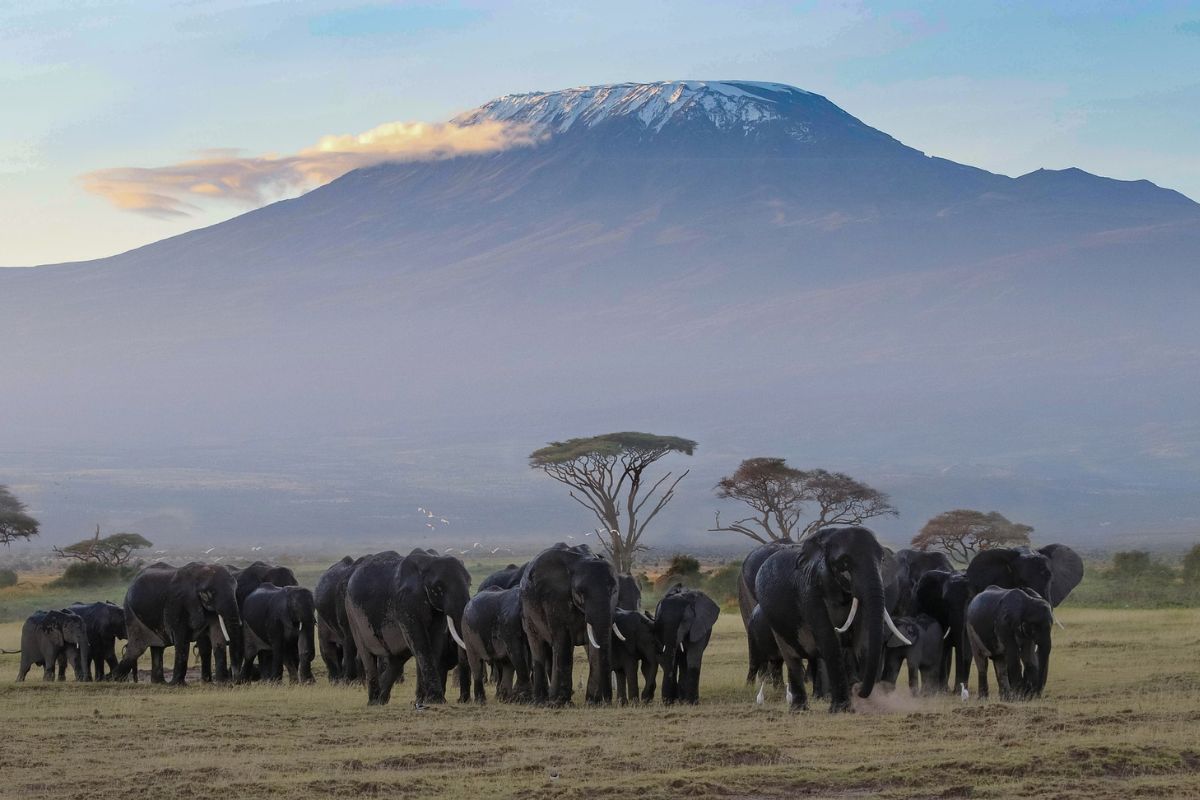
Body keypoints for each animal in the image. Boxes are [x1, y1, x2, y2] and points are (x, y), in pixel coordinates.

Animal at [112, 561, 243, 686]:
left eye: (235, 589)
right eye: (208, 594)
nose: (235, 681)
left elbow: (218, 638)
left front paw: (222, 683)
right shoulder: (177, 603)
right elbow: (182, 640)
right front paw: (178, 685)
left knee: (157, 647)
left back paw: (159, 682)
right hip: (131, 613)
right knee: (136, 648)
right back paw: (114, 679)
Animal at [345, 551, 470, 705]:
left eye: (470, 583)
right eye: (438, 587)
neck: (428, 563)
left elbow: (435, 642)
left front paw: (424, 701)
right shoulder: (405, 602)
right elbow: (421, 642)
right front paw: (436, 700)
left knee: (398, 657)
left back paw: (382, 700)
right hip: (352, 614)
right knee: (367, 655)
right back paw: (373, 702)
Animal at [520, 544, 619, 705]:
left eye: (614, 591)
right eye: (580, 593)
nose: (608, 700)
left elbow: (594, 646)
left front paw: (594, 702)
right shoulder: (555, 598)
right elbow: (563, 639)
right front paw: (558, 703)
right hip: (527, 612)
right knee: (538, 646)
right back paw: (541, 701)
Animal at [753, 525, 912, 714]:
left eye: (881, 559)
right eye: (844, 562)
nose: (858, 689)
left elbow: (862, 640)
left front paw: (868, 706)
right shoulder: (809, 591)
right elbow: (829, 639)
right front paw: (841, 709)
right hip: (775, 622)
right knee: (792, 658)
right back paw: (799, 710)